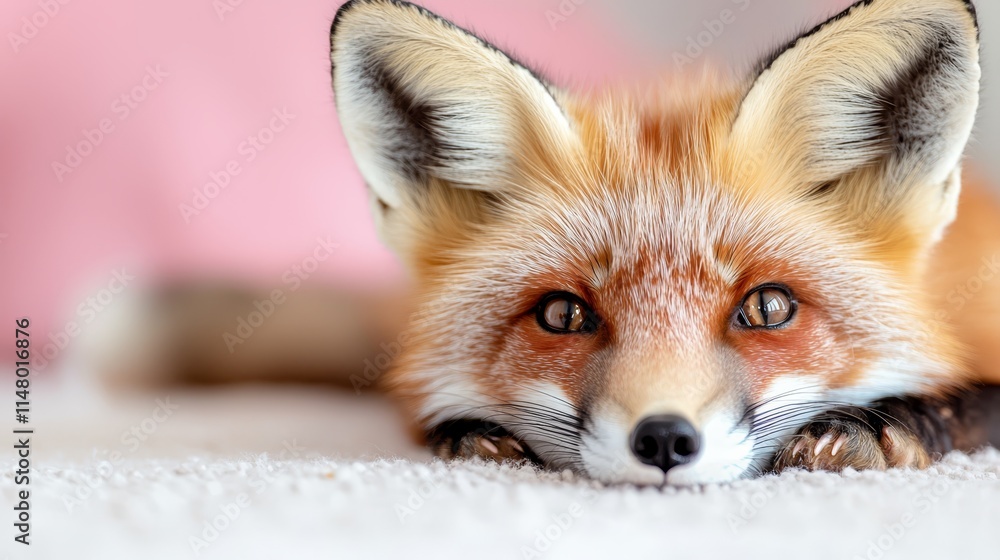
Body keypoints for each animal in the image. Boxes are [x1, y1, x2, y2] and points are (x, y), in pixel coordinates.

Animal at [323, 0, 1000, 485]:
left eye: (768, 307)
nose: (665, 441)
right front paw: (472, 433)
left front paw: (884, 423)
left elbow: (970, 403)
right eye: (562, 314)